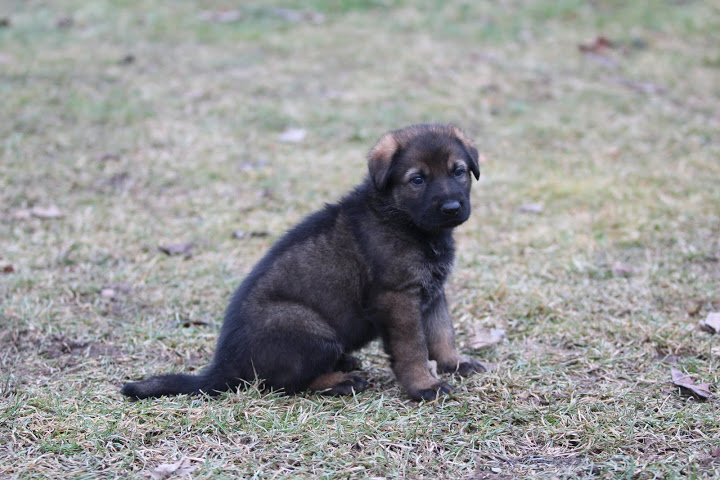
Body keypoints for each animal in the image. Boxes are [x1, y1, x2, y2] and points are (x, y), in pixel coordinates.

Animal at [121, 124, 485, 402]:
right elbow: (413, 348)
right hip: (306, 326)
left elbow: (442, 333)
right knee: (283, 383)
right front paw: (423, 386)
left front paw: (455, 364)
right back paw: (340, 381)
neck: (402, 218)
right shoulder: (398, 298)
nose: (452, 208)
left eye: (458, 172)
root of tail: (226, 364)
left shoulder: (432, 292)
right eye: (417, 179)